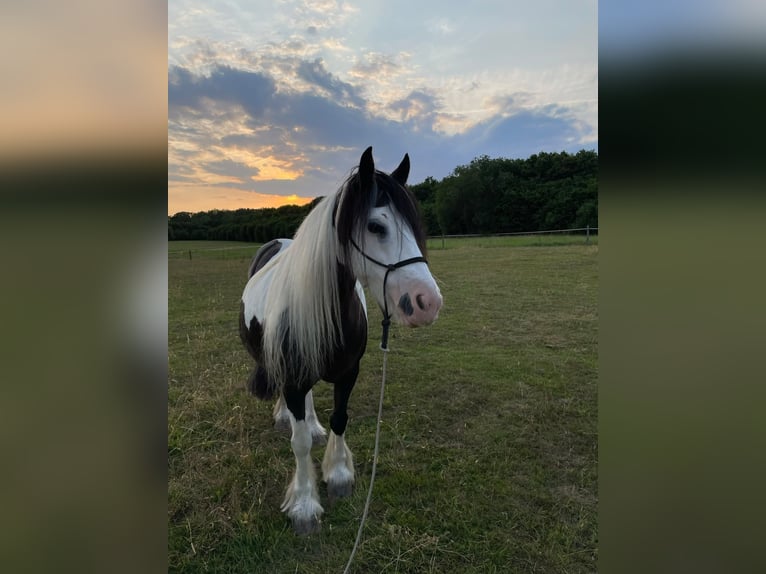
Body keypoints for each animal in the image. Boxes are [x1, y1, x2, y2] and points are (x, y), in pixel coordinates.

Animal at [239, 146, 443, 534]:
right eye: (376, 226)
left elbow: (339, 419)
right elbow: (300, 443)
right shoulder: (293, 378)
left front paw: (338, 476)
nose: (428, 303)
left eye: (415, 226)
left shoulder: (349, 373)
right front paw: (304, 505)